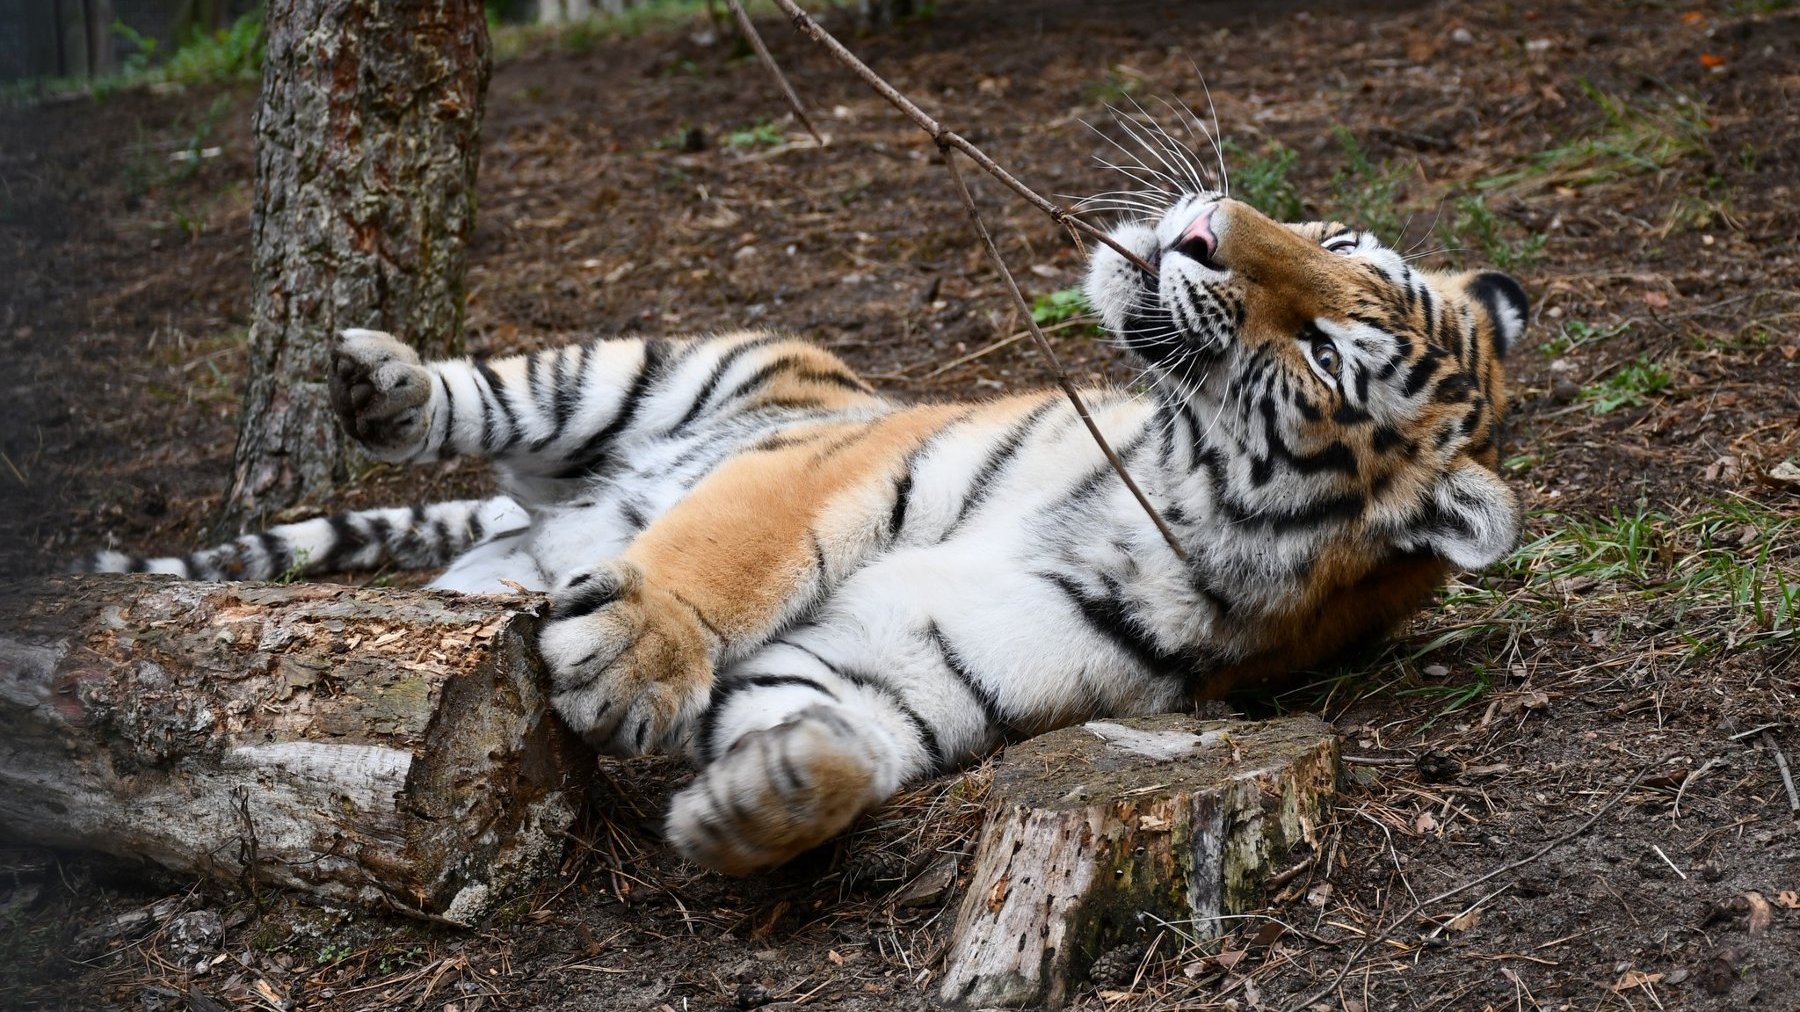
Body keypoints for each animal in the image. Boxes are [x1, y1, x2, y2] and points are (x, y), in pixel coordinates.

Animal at [81, 190, 1519, 875]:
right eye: (1333, 234)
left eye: (1329, 348)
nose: (1205, 225)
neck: (1161, 501)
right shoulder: (848, 458)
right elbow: (732, 553)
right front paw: (641, 652)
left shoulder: (919, 660)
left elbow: (839, 730)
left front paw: (764, 802)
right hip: (652, 376)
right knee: (488, 402)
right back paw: (380, 381)